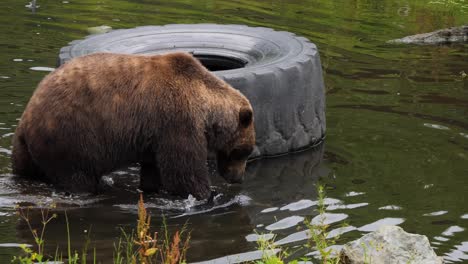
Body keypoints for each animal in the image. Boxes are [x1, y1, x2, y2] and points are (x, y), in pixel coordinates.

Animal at [11, 51, 254, 199]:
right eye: (243, 152)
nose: (238, 177)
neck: (207, 110)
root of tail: (27, 117)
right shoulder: (178, 119)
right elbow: (184, 171)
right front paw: (208, 194)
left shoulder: (156, 134)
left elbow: (154, 169)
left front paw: (152, 188)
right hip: (71, 135)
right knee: (78, 176)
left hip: (27, 149)